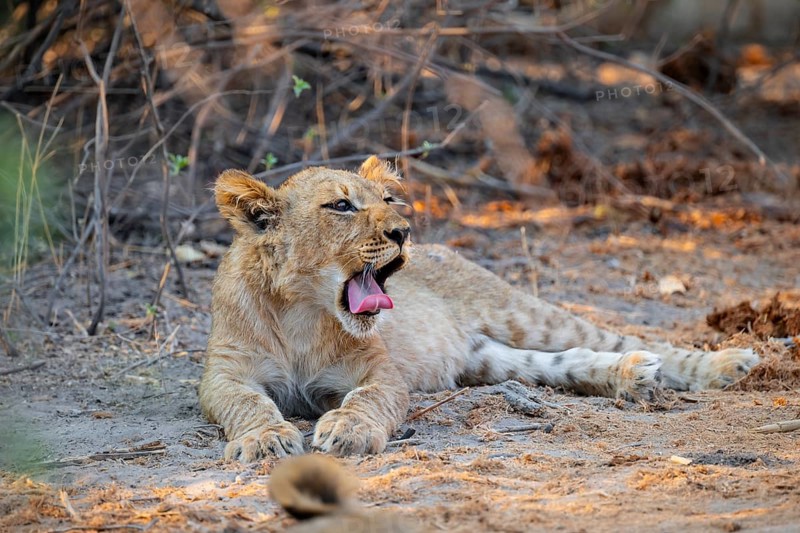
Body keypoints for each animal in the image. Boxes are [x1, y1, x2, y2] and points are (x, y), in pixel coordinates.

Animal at [199, 156, 757, 461]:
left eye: (387, 200)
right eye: (341, 206)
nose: (402, 232)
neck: (304, 313)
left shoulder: (381, 372)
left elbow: (366, 400)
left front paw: (347, 431)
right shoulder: (223, 373)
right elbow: (246, 403)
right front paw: (267, 439)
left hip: (519, 311)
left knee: (617, 337)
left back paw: (728, 364)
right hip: (486, 358)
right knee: (565, 362)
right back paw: (631, 376)